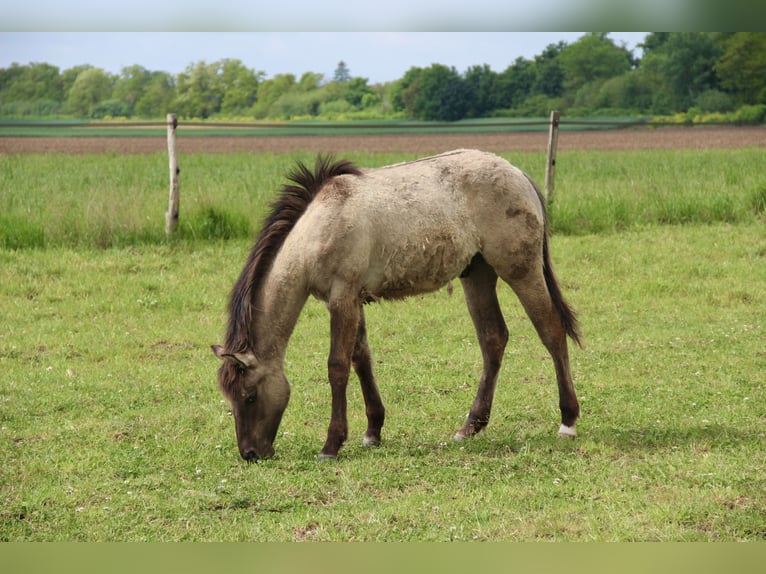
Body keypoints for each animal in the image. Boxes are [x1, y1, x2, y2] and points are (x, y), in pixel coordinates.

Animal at [212, 149, 581, 462]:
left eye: (249, 396)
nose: (250, 453)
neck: (320, 227)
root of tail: (518, 174)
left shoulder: (342, 297)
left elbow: (337, 367)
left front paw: (331, 445)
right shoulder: (352, 300)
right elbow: (361, 360)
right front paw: (373, 431)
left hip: (521, 272)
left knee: (551, 331)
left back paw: (568, 421)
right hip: (477, 275)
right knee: (493, 339)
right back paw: (470, 426)